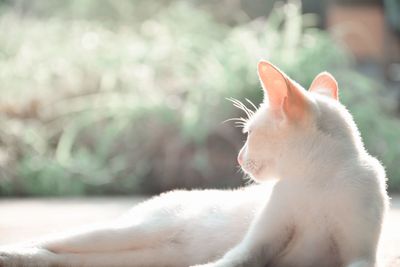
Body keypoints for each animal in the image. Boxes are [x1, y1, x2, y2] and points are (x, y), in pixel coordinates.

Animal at [0, 61, 388, 267]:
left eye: (249, 135)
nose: (238, 158)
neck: (316, 181)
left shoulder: (358, 254)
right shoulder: (256, 245)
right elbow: (229, 261)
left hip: (138, 255)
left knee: (66, 259)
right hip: (132, 230)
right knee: (54, 241)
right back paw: (16, 252)